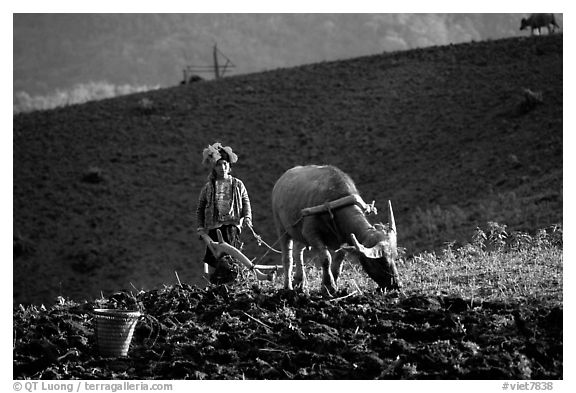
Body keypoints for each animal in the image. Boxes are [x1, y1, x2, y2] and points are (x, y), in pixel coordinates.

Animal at [272, 164, 400, 296]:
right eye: (382, 262)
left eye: (395, 257)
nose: (397, 285)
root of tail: (281, 181)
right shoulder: (310, 234)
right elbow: (326, 258)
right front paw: (329, 286)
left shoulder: (344, 239)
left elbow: (338, 262)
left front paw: (333, 283)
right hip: (281, 228)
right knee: (287, 258)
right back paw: (288, 287)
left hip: (299, 235)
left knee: (298, 251)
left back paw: (300, 282)